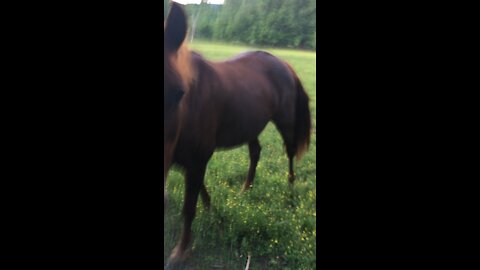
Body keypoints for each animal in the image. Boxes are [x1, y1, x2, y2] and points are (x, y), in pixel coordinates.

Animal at [165, 2, 312, 264]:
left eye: (178, 93)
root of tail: (283, 63)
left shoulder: (198, 157)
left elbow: (189, 207)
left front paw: (180, 253)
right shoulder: (188, 160)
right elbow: (200, 189)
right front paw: (211, 209)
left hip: (285, 122)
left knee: (291, 151)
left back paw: (290, 188)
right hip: (250, 124)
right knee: (255, 152)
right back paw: (246, 189)